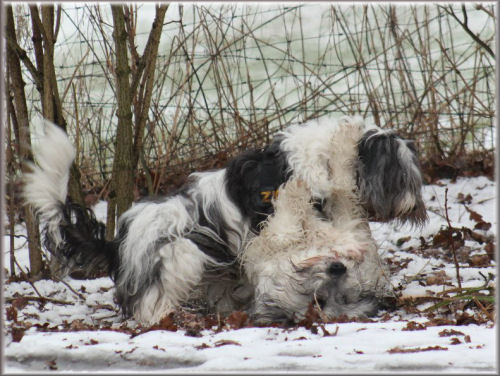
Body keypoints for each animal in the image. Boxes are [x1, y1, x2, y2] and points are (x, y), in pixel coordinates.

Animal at [23, 114, 428, 326]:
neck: (316, 160)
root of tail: (118, 241)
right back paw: (166, 319)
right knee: (148, 303)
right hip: (179, 255)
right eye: (403, 175)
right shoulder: (282, 227)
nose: (416, 209)